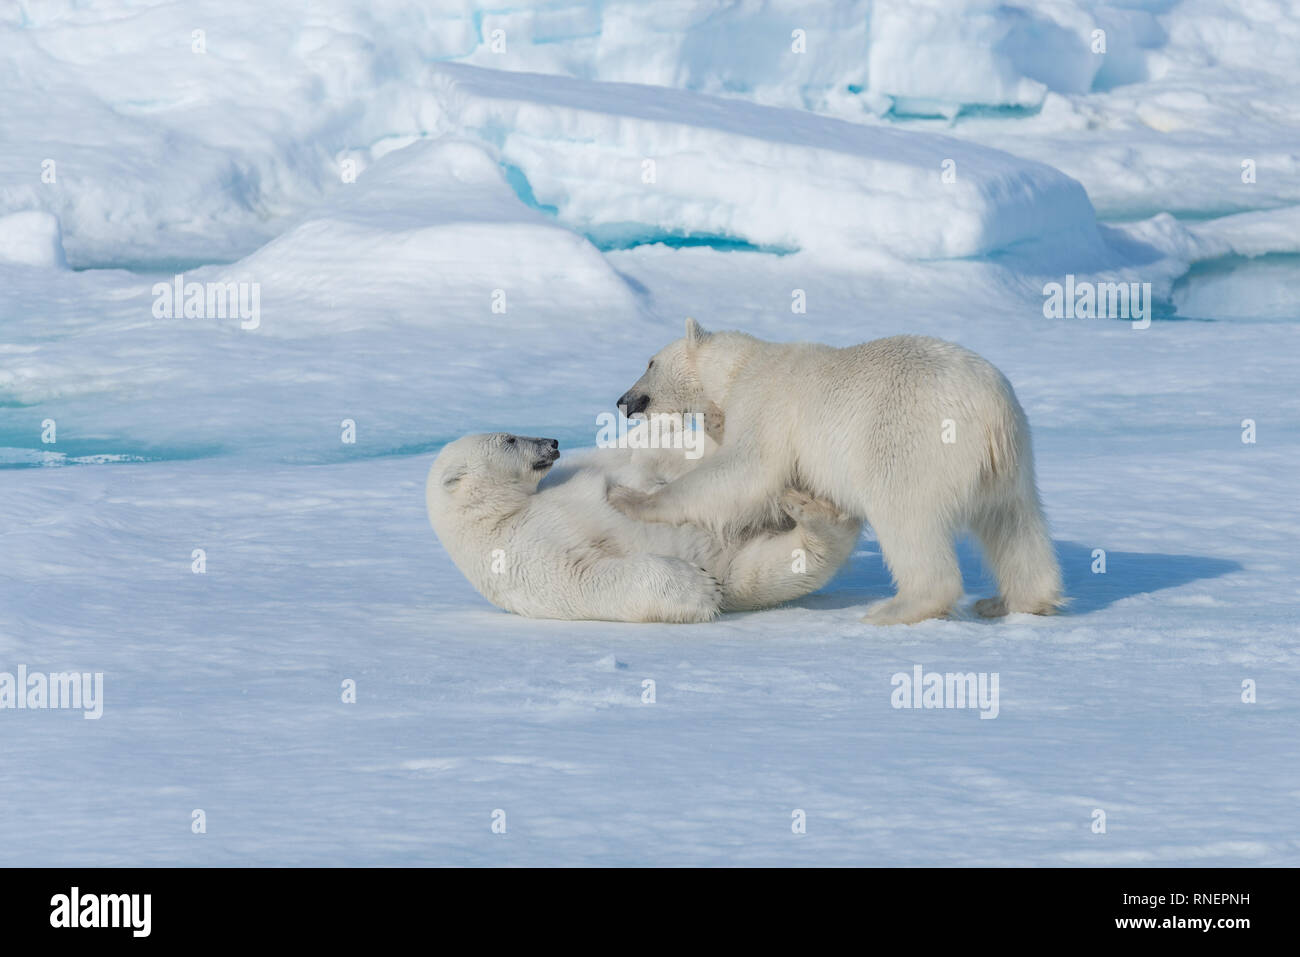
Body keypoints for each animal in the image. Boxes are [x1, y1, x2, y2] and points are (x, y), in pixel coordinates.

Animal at [425, 427, 862, 623]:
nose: (552, 442)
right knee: (784, 566)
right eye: (510, 439)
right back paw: (809, 509)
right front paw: (702, 588)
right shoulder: (520, 556)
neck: (504, 513)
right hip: (742, 566)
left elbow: (636, 461)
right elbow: (587, 579)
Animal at [609, 319, 1064, 625]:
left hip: (909, 442)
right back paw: (1012, 601)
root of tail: (990, 412)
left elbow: (746, 471)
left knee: (906, 519)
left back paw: (895, 608)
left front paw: (629, 499)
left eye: (649, 362)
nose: (624, 400)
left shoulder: (765, 403)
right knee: (1014, 524)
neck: (739, 366)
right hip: (1012, 464)